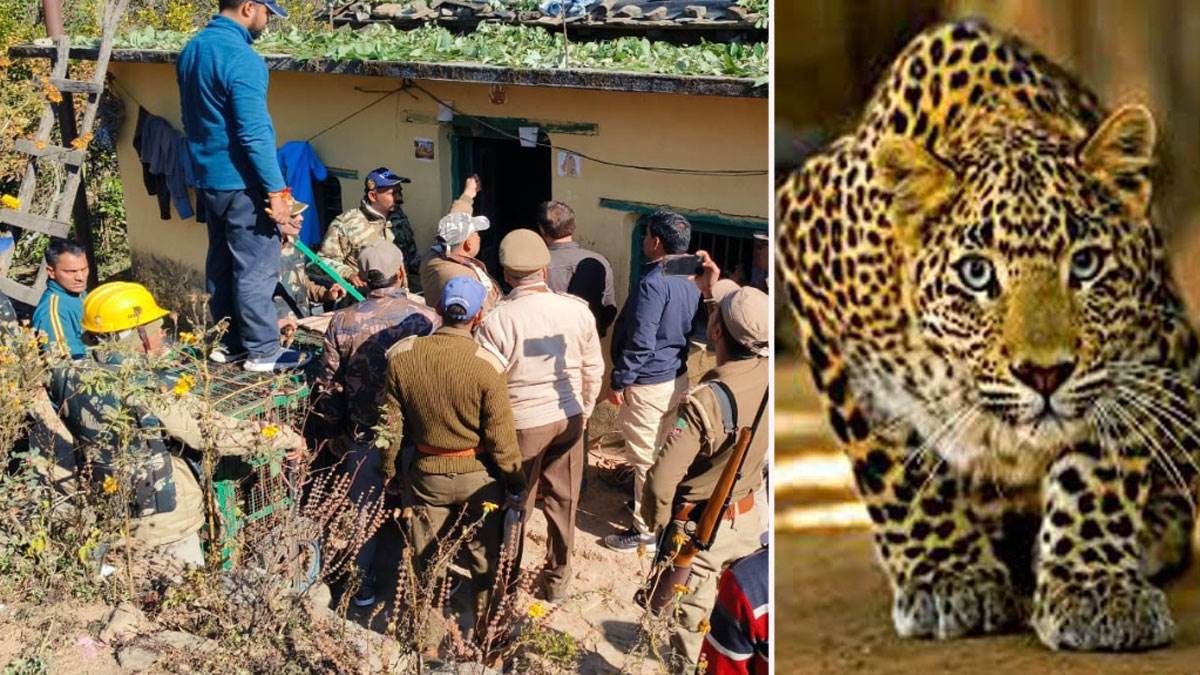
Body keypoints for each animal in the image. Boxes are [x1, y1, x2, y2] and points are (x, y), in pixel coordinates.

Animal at [776, 19, 1200, 651]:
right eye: (977, 274)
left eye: (1086, 264)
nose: (1045, 374)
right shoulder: (807, 263)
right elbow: (893, 467)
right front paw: (947, 578)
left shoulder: (1138, 346)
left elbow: (1098, 470)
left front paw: (1093, 587)